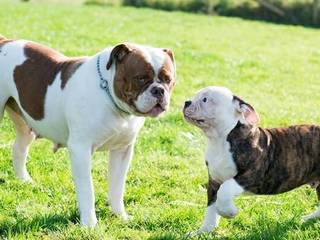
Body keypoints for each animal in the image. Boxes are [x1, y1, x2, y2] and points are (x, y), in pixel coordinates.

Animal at [182, 86, 320, 232]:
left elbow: (225, 189)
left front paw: (230, 212)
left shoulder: (252, 176)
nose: (187, 102)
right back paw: (308, 218)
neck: (220, 140)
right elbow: (211, 208)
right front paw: (203, 231)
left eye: (205, 99)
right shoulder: (214, 181)